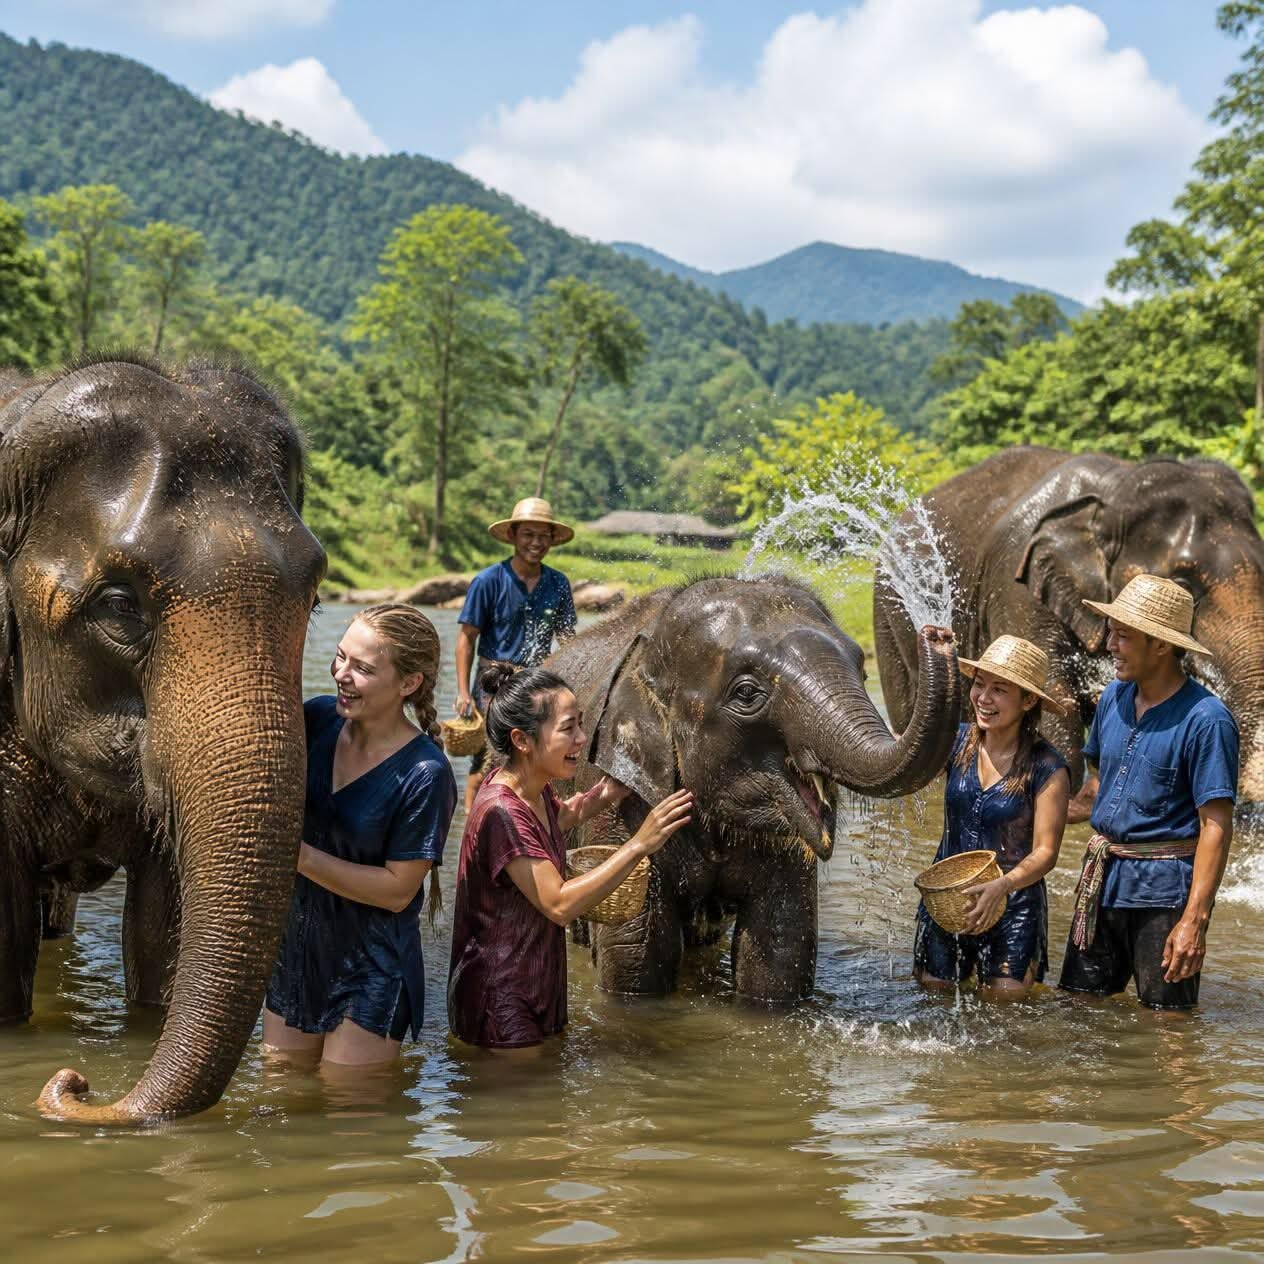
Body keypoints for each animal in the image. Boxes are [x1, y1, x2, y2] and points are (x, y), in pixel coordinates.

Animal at [546, 574, 960, 1003]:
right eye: (747, 693)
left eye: (862, 673)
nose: (938, 633)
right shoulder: (620, 798)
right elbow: (635, 958)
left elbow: (780, 954)